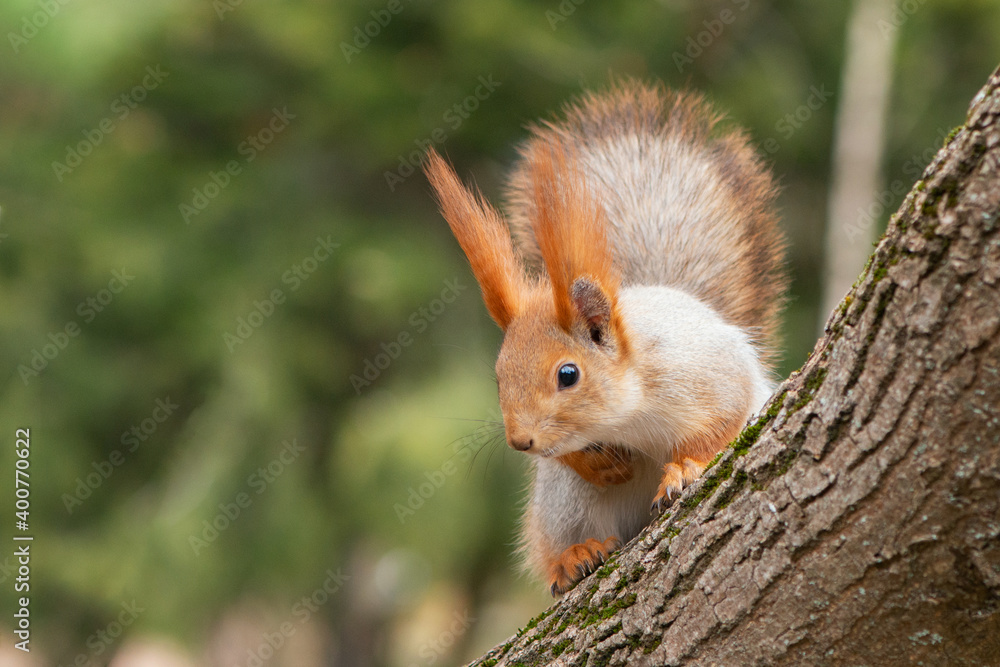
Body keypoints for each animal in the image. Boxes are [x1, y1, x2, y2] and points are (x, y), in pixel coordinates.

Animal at [424, 81, 786, 596]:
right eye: (497, 377)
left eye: (568, 374)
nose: (520, 442)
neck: (626, 416)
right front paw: (599, 464)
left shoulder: (705, 371)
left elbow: (721, 421)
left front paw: (685, 467)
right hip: (565, 503)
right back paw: (574, 555)